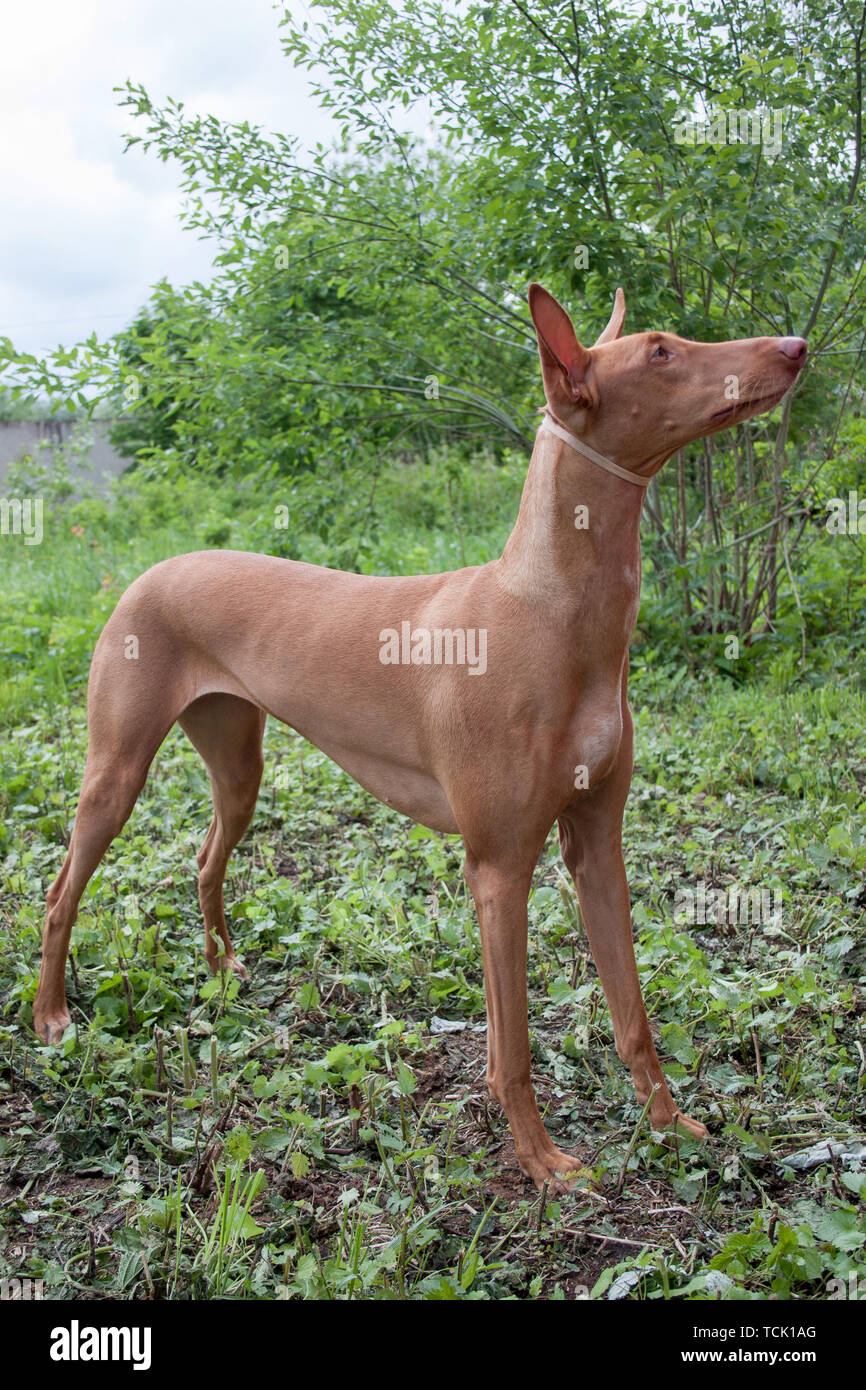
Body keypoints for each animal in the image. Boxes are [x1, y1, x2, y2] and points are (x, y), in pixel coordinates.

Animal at [32, 287, 806, 1189]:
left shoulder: (597, 845)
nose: (795, 346)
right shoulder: (498, 869)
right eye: (659, 352)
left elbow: (634, 1016)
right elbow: (511, 1050)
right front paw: (541, 1162)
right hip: (115, 774)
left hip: (239, 766)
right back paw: (52, 1016)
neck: (548, 610)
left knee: (203, 859)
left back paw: (222, 968)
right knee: (61, 894)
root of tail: (152, 571)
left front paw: (671, 1123)